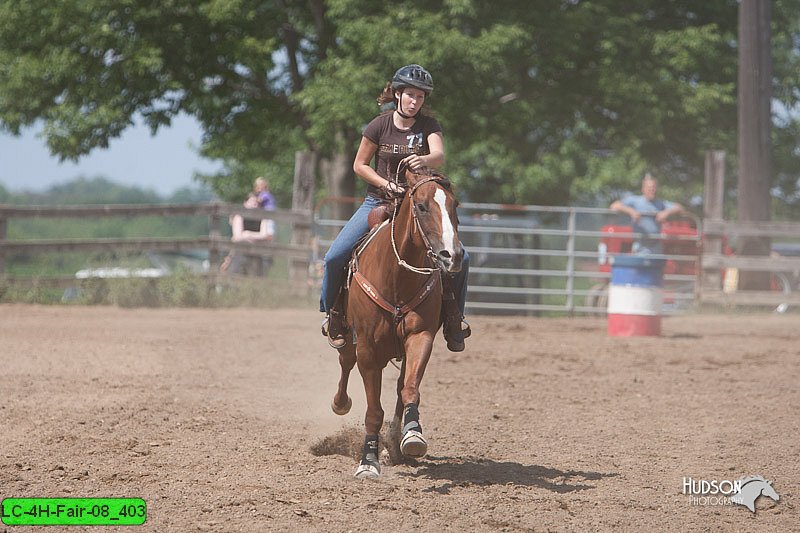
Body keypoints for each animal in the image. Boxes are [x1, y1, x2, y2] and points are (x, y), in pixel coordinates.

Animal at [330, 167, 462, 478]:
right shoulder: (367, 348)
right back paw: (340, 403)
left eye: (455, 206)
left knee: (402, 384)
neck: (396, 277)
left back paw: (395, 440)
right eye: (422, 206)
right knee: (345, 362)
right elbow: (373, 410)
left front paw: (412, 435)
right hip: (349, 337)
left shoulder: (420, 335)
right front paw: (368, 460)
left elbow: (409, 388)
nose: (453, 255)